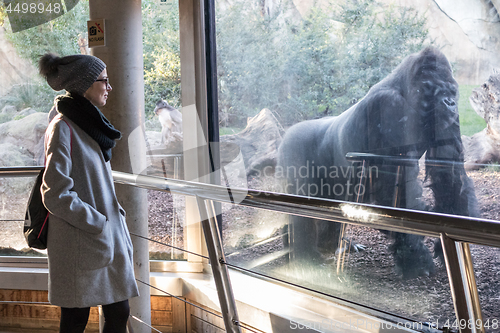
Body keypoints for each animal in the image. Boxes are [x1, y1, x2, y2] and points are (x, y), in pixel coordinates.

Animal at [278, 46, 476, 278]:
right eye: (436, 90)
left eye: (452, 91)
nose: (451, 103)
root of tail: (287, 132)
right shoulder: (388, 106)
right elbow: (394, 189)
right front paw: (416, 260)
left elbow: (448, 174)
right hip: (292, 149)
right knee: (300, 206)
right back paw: (305, 257)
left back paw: (331, 245)